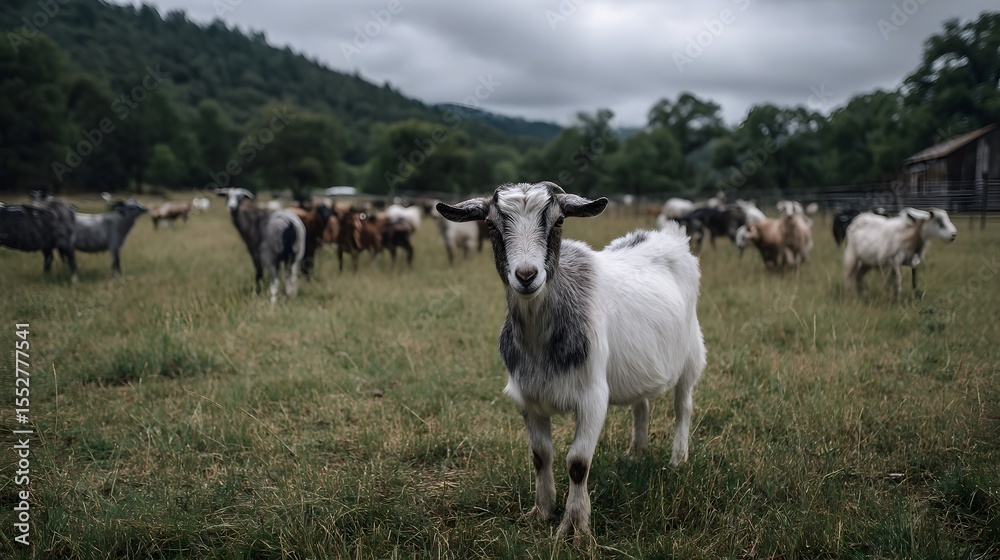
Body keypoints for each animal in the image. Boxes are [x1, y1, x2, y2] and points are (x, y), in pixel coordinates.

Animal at [436, 182, 706, 546]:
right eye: (491, 224)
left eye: (559, 221)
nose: (526, 275)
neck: (540, 340)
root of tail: (672, 237)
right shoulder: (529, 397)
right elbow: (541, 456)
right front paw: (541, 512)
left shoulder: (593, 397)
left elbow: (577, 462)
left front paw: (575, 528)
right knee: (642, 405)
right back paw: (636, 453)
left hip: (691, 354)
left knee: (683, 406)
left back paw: (678, 461)